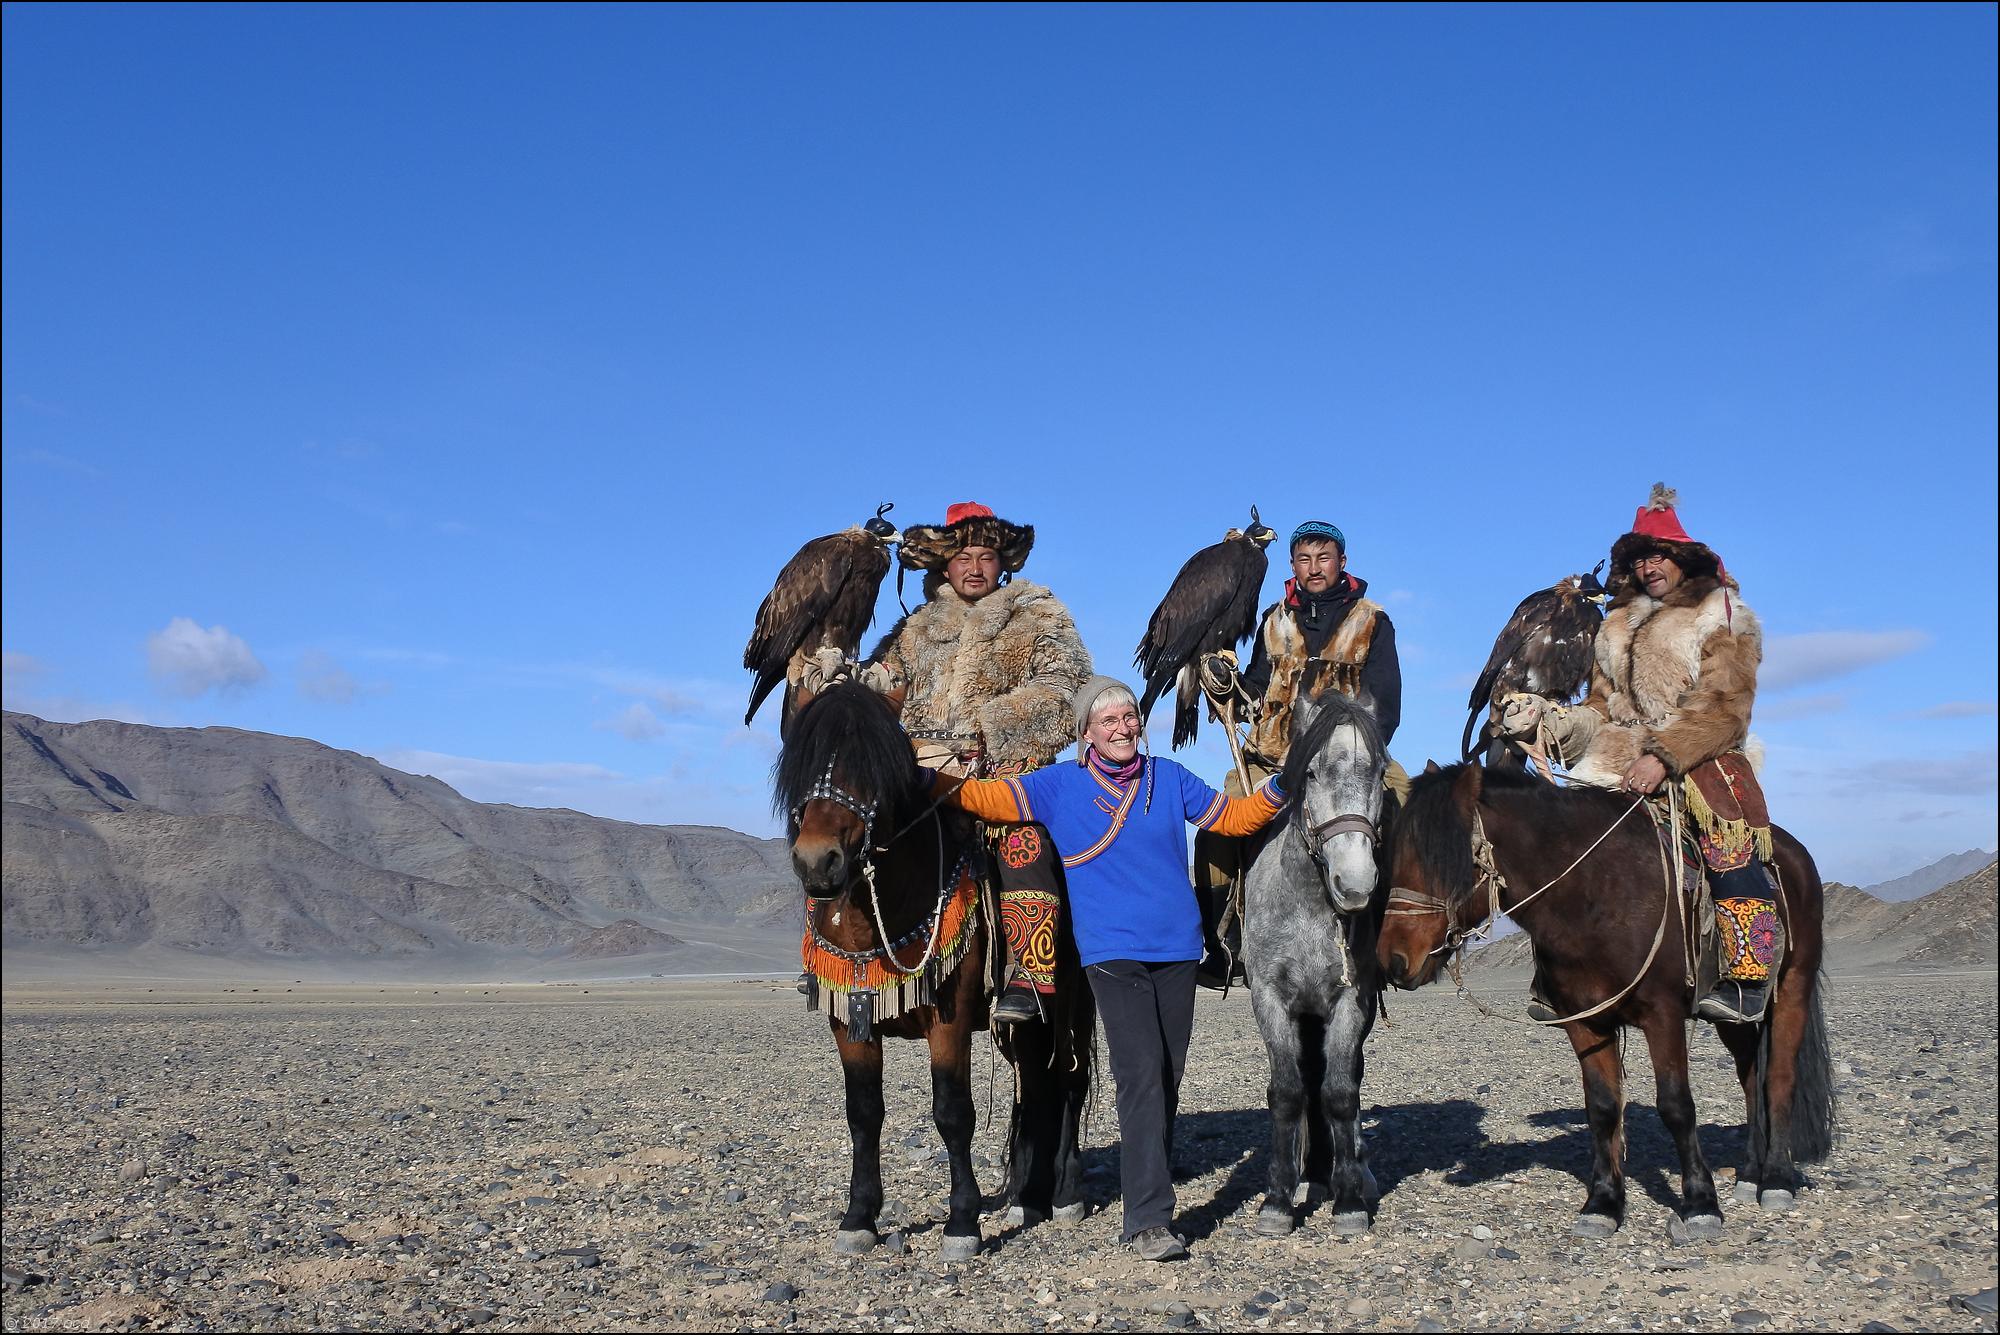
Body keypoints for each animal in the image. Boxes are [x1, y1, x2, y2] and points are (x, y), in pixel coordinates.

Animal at [776, 683, 1096, 1255]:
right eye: (803, 762)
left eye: (872, 767)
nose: (818, 862)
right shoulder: (848, 1018)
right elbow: (864, 1114)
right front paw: (858, 1218)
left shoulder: (952, 1016)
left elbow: (952, 1112)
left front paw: (963, 1223)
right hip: (1028, 1025)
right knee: (1038, 1085)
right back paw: (1028, 1196)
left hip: (1074, 1001)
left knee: (1069, 1081)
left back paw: (1065, 1193)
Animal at [1240, 695, 1384, 1239]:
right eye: (1313, 773)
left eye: (1379, 772)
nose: (1355, 883)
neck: (1306, 903)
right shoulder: (1270, 999)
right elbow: (1287, 1091)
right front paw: (1277, 1202)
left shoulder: (1351, 1002)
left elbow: (1340, 1092)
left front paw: (1349, 1201)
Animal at [1376, 759, 1832, 1239]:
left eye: (1440, 858)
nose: (1393, 960)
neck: (1594, 895)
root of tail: (1795, 854)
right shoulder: (1584, 1021)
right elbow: (1602, 1107)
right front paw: (1604, 1202)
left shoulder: (1663, 1015)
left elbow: (1676, 1106)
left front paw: (1700, 1202)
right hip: (1734, 1016)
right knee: (1750, 1077)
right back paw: (1748, 1174)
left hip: (1793, 988)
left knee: (1777, 1078)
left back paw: (1776, 1179)